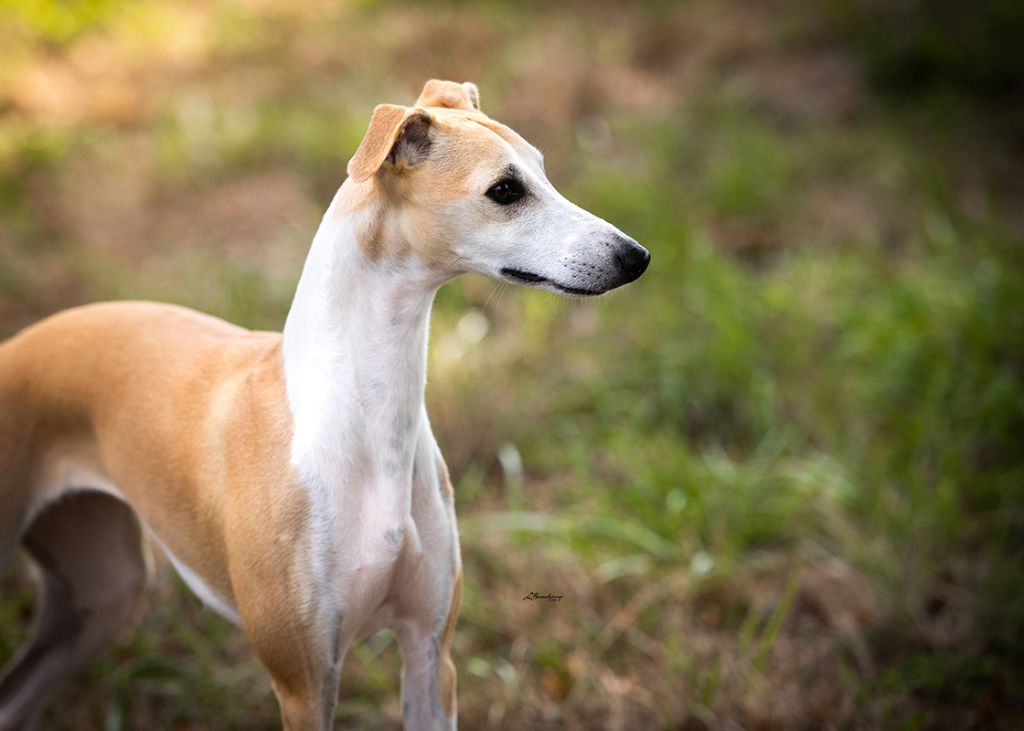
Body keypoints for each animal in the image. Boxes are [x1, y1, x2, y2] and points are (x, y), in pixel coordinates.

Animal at [0, 78, 651, 724]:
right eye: (506, 190)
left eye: (543, 171)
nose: (636, 257)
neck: (367, 415)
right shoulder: (303, 681)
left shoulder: (430, 654)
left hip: (101, 597)